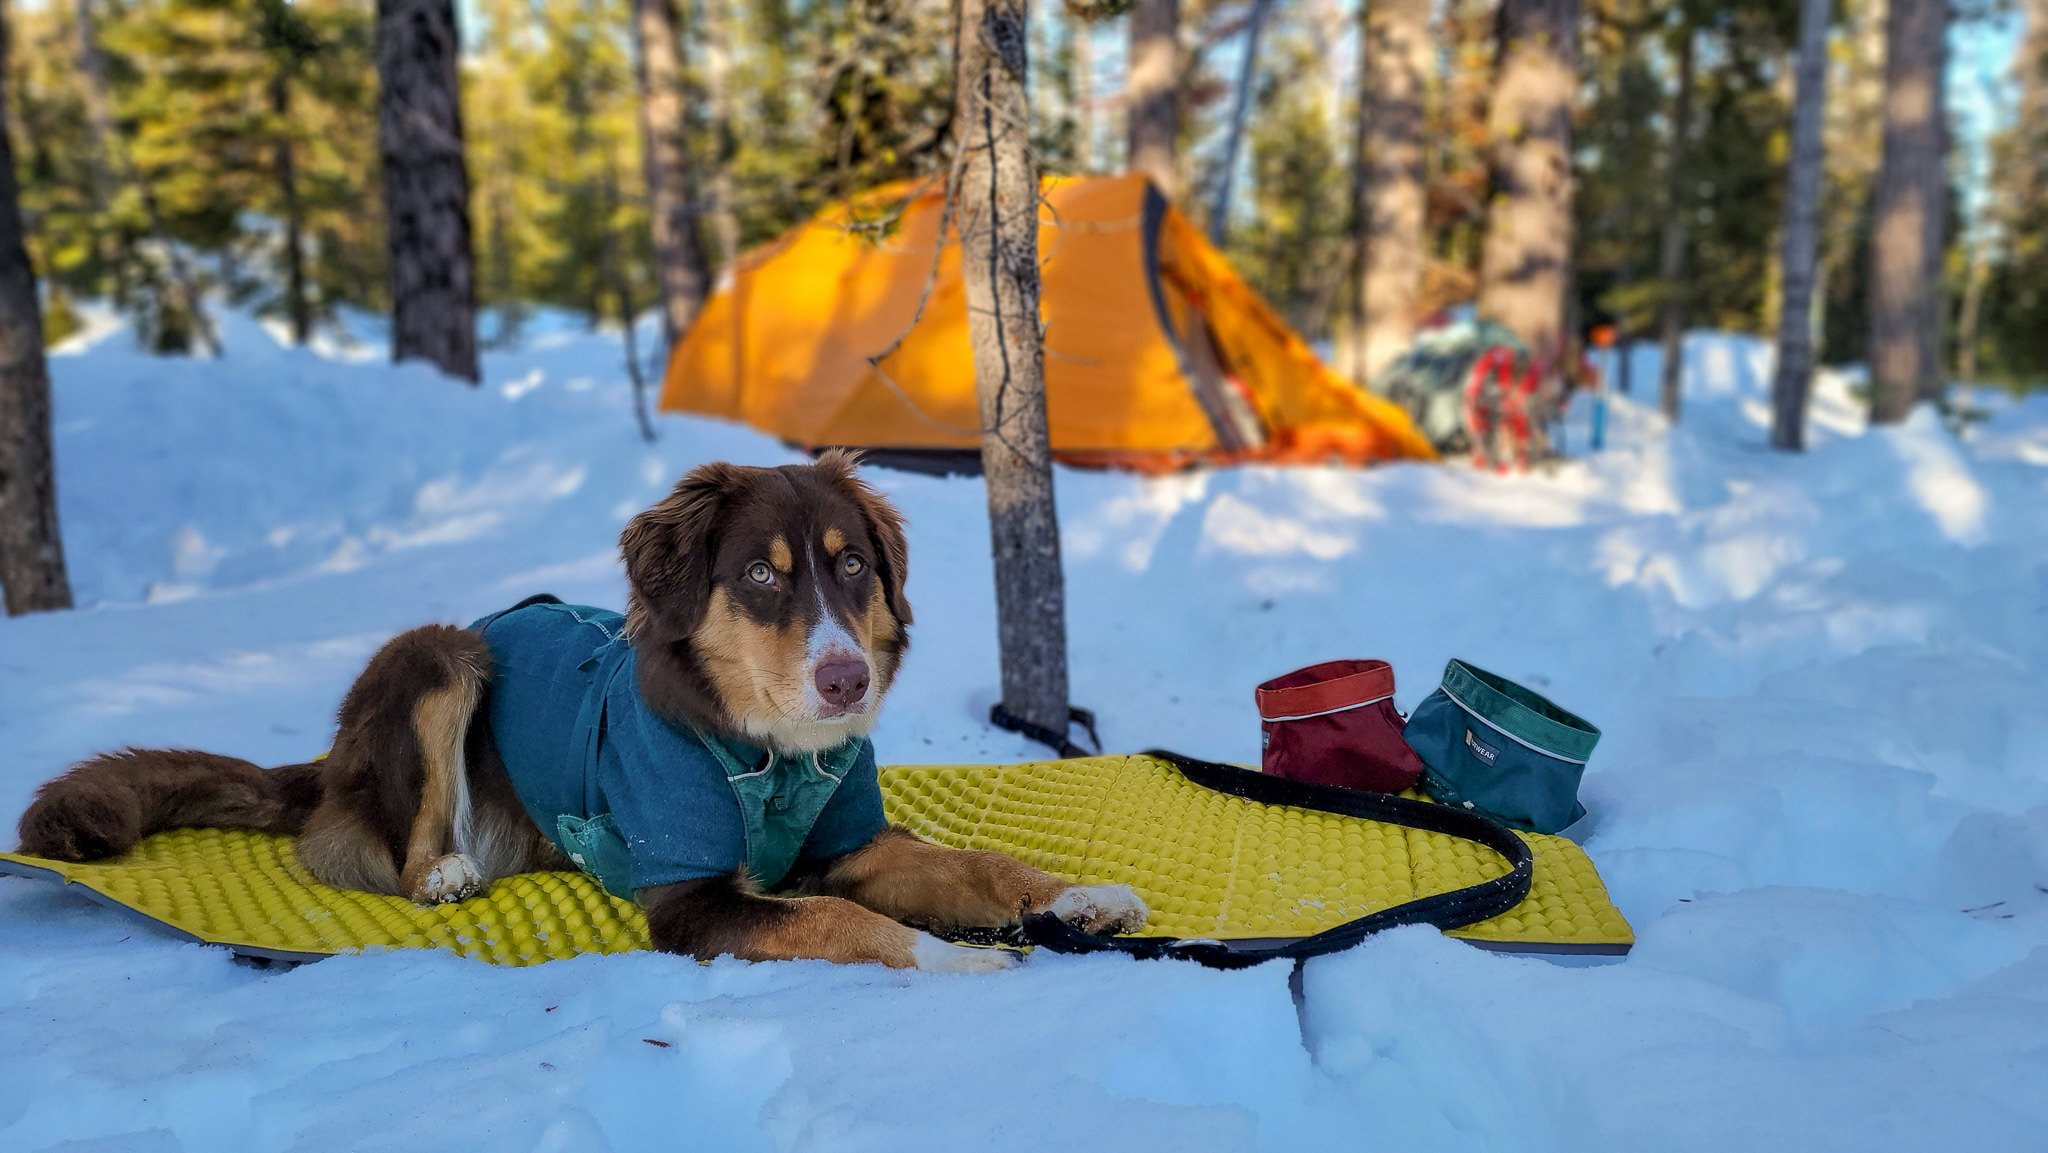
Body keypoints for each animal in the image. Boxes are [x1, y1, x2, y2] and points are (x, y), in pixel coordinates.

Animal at [16, 456, 1146, 970]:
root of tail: (331, 757)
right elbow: (848, 919)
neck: (769, 757)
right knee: (391, 845)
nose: (844, 680)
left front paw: (1078, 896)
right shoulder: (692, 898)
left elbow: (976, 865)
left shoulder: (852, 841)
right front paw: (960, 955)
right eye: (761, 576)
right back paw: (444, 871)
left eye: (853, 566)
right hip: (440, 653)